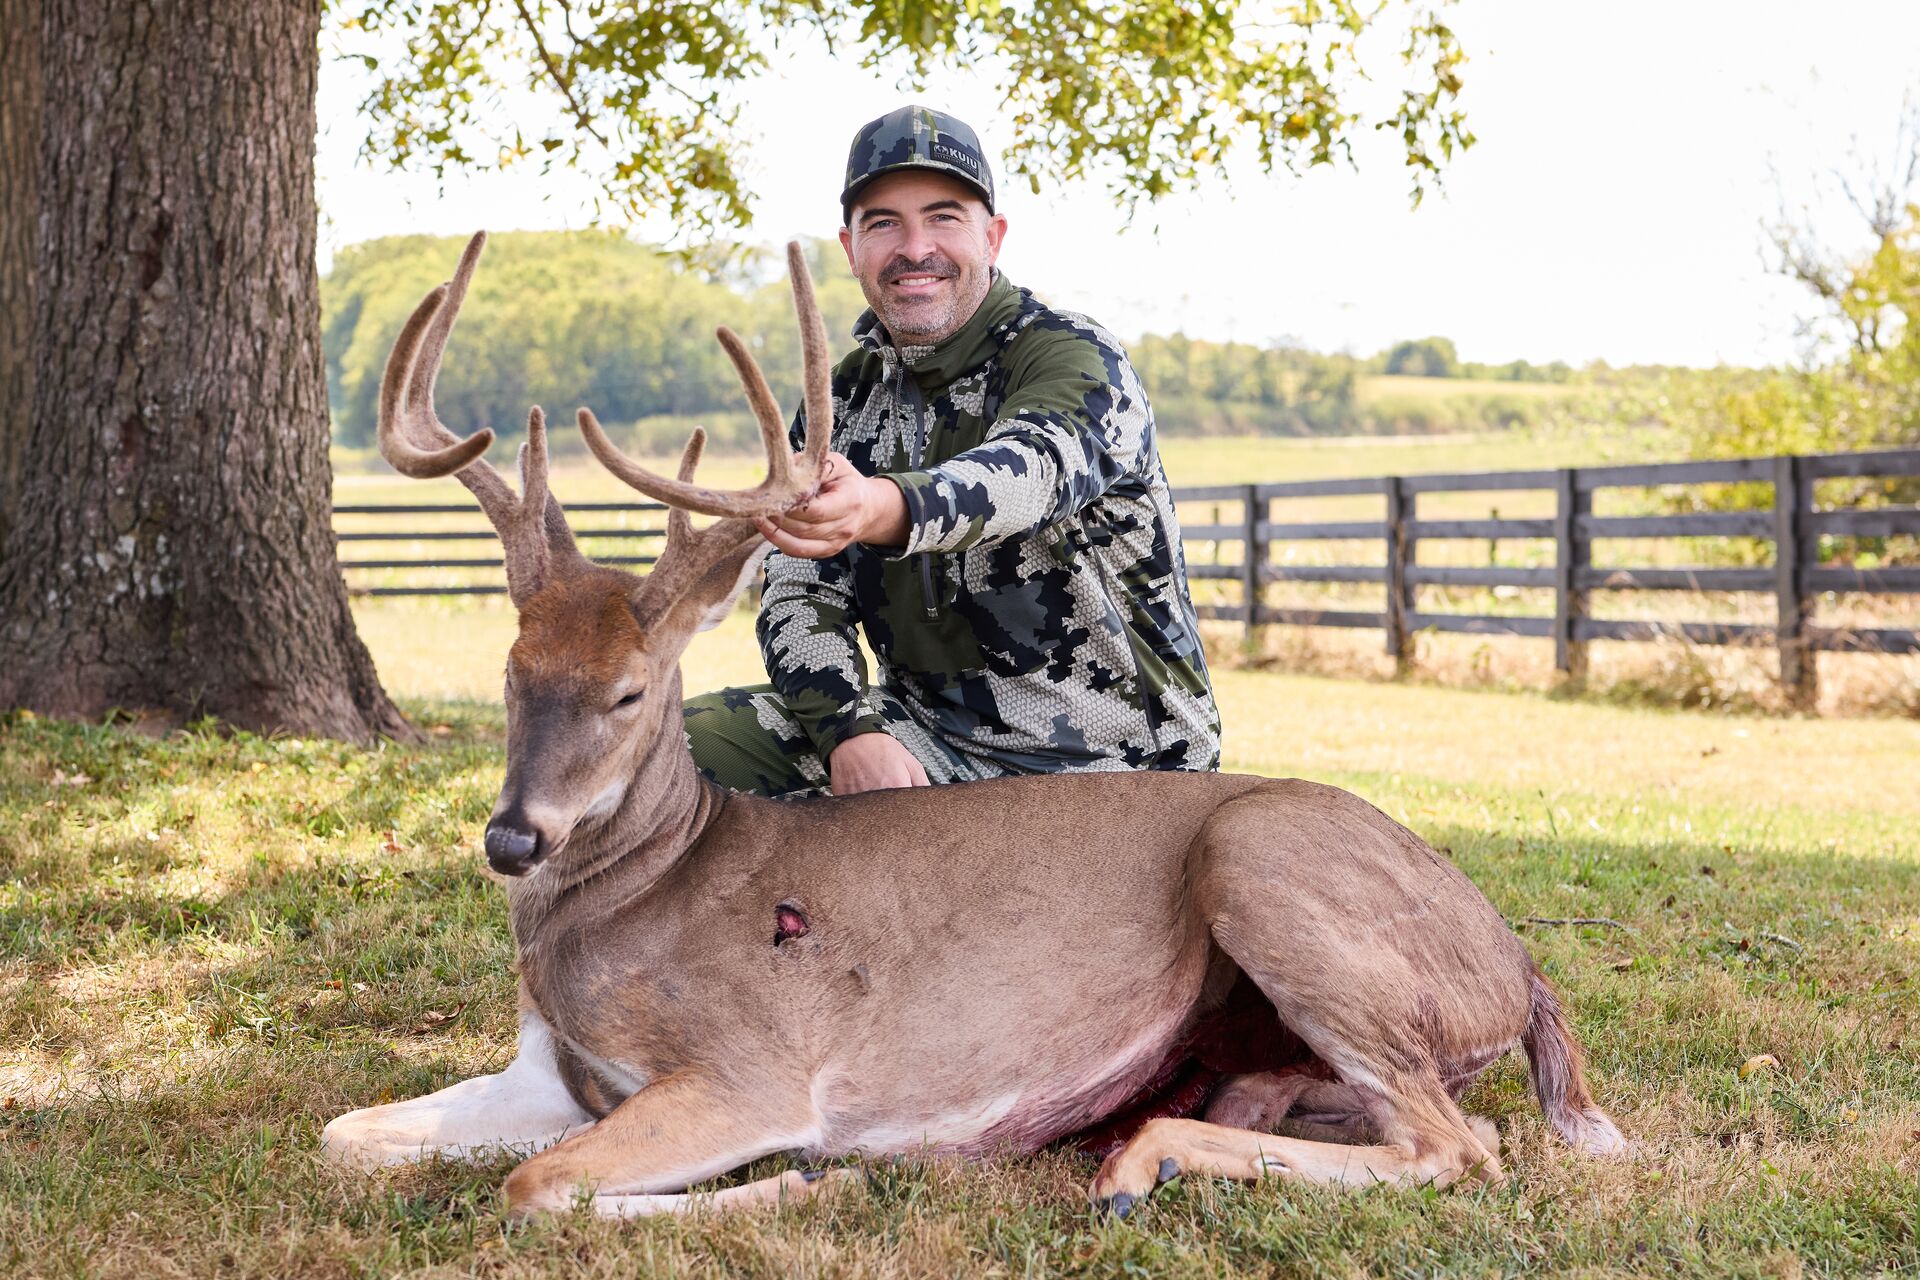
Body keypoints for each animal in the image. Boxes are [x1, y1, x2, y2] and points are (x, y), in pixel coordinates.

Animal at [319, 233, 1625, 1219]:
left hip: (1262, 858)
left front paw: (813, 1181)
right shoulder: (543, 1071)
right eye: (511, 669)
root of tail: (1519, 968)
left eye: (632, 690)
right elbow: (349, 1132)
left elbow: (536, 1184)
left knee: (1459, 1146)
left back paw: (1135, 1163)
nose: (513, 838)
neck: (636, 897)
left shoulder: (754, 1067)